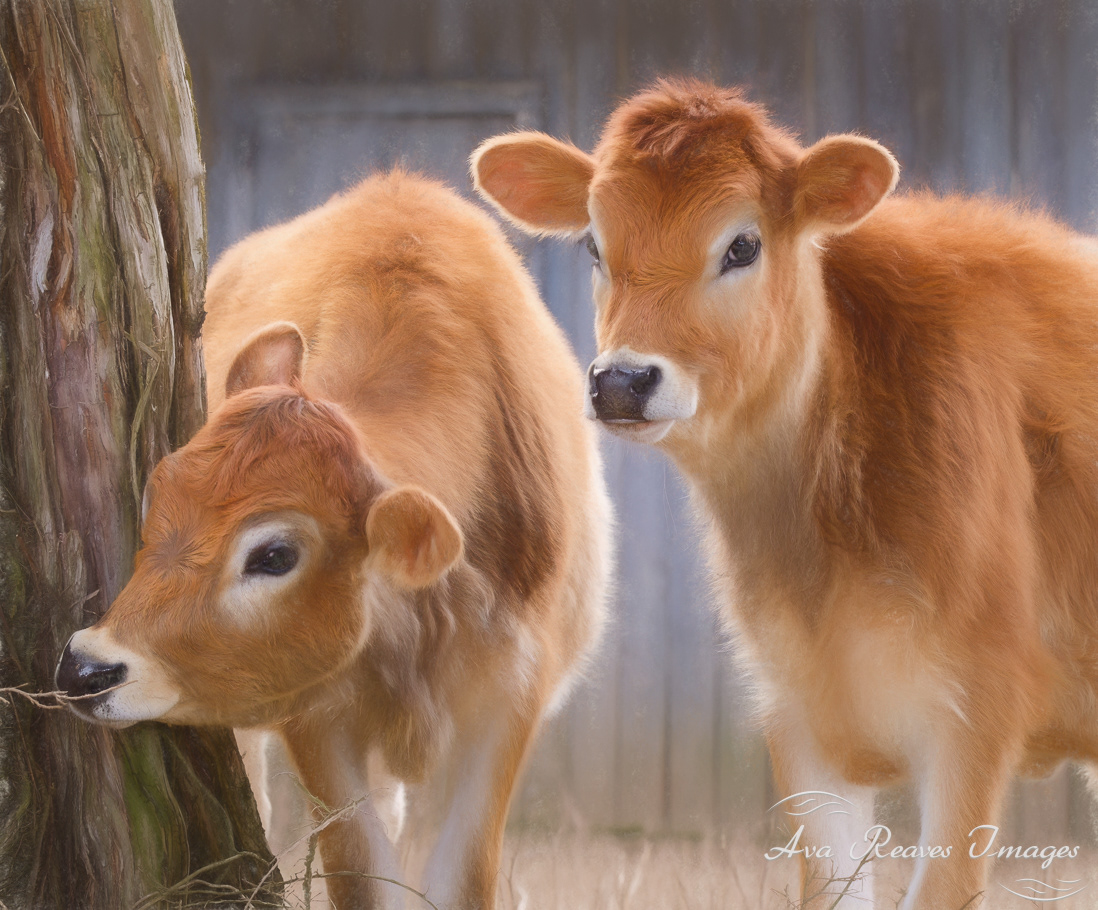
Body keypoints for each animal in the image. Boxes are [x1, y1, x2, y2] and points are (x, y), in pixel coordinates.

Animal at [54, 171, 612, 910]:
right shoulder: (314, 713)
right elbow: (360, 869)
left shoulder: (508, 693)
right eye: (155, 491)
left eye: (274, 555)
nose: (85, 667)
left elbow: (456, 875)